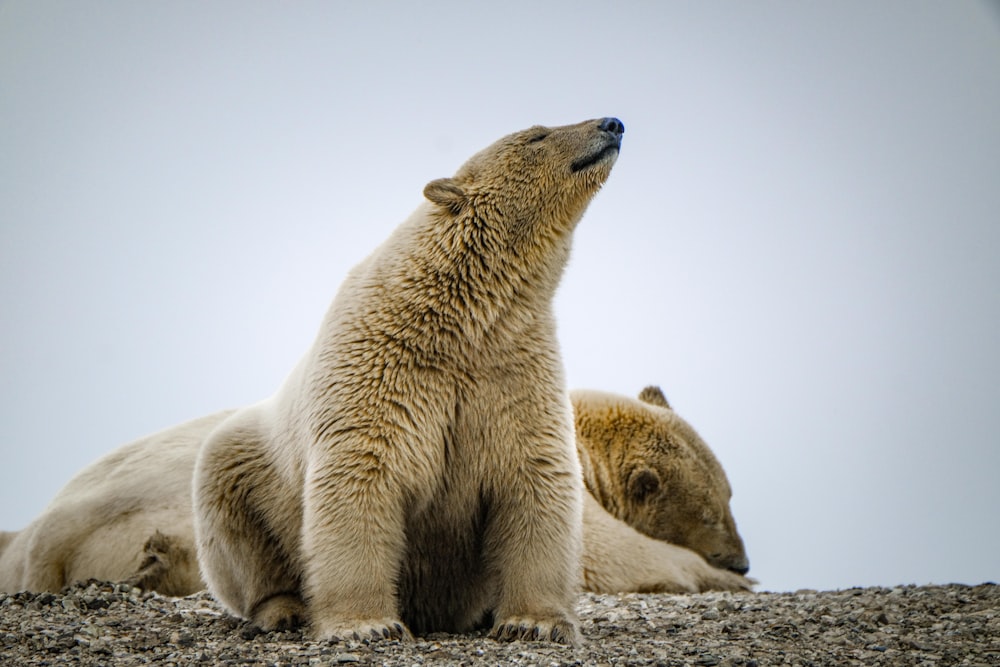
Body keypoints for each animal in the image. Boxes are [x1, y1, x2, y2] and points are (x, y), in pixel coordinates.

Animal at [0, 386, 752, 600]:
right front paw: (715, 577)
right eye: (711, 511)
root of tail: (51, 527)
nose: (742, 557)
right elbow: (600, 550)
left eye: (731, 493)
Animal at [189, 117, 624, 644]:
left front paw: (534, 623)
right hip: (248, 464)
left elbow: (535, 475)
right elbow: (361, 474)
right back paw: (283, 609)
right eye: (537, 135)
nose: (613, 123)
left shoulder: (513, 370)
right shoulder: (381, 369)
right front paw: (367, 625)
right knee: (236, 520)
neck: (461, 319)